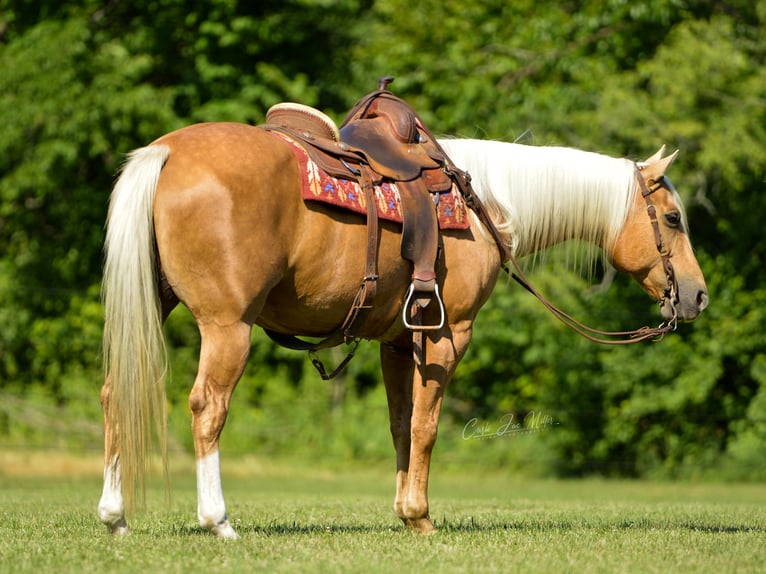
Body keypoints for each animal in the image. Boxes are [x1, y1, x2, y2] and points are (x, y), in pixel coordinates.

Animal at [99, 121, 712, 540]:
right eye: (673, 218)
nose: (698, 295)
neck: (487, 204)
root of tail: (168, 152)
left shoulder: (395, 340)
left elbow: (400, 425)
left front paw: (404, 514)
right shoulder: (449, 333)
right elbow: (427, 425)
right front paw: (421, 517)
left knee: (113, 394)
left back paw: (115, 515)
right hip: (230, 327)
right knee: (208, 406)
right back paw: (217, 520)